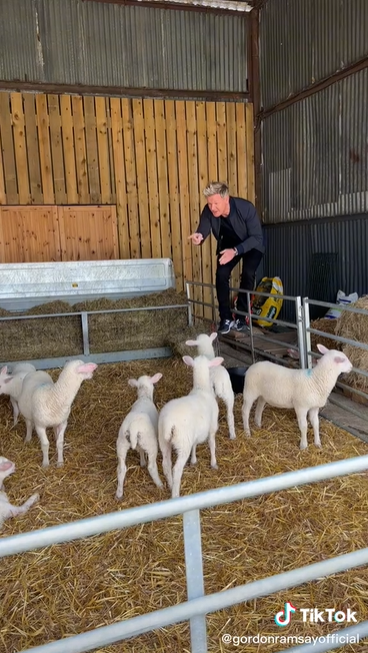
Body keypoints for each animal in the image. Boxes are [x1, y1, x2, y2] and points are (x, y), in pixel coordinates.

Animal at [115, 372, 163, 500]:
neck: (144, 396)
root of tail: (133, 428)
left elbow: (140, 450)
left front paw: (142, 462)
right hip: (150, 443)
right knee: (152, 467)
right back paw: (160, 484)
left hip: (121, 443)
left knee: (121, 469)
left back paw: (119, 493)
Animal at [157, 354, 223, 496]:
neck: (201, 388)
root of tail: (169, 423)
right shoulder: (212, 428)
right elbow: (212, 445)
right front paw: (214, 463)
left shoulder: (195, 435)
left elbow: (195, 445)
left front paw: (193, 460)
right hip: (183, 442)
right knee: (176, 469)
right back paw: (175, 494)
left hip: (163, 440)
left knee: (166, 464)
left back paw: (170, 484)